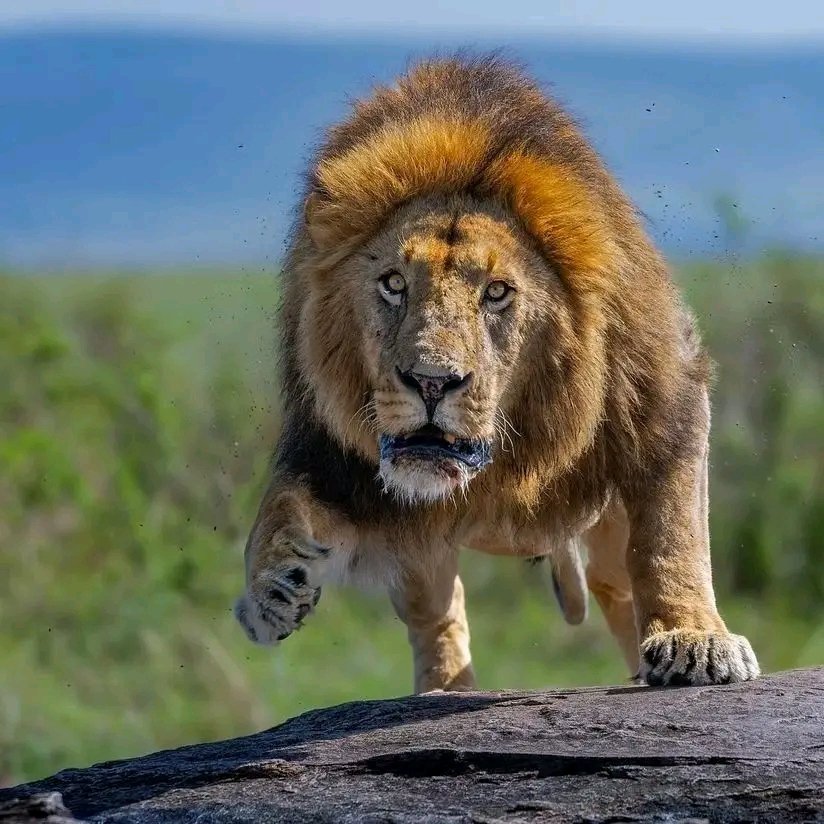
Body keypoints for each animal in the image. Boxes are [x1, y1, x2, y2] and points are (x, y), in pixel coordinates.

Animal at [234, 55, 760, 692]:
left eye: (497, 292)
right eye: (393, 283)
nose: (431, 382)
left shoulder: (664, 394)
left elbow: (671, 532)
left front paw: (696, 641)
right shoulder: (336, 458)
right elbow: (283, 501)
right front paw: (269, 590)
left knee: (617, 582)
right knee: (437, 612)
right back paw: (442, 689)